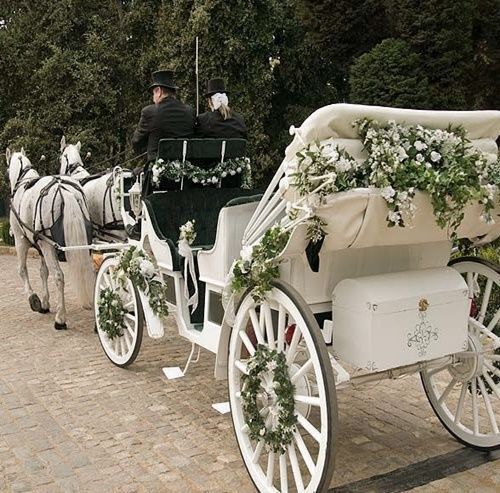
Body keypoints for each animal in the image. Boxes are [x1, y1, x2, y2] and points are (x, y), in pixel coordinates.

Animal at [6, 147, 94, 330]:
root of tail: (62, 188)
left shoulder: (20, 240)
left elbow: (22, 270)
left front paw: (33, 299)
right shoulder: (40, 246)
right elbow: (43, 272)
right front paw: (45, 303)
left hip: (46, 245)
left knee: (59, 276)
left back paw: (60, 319)